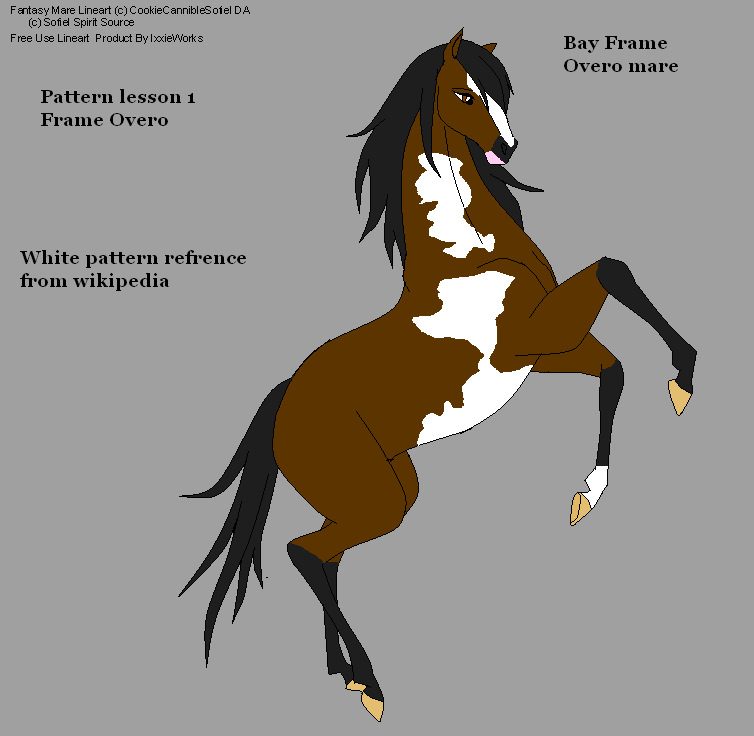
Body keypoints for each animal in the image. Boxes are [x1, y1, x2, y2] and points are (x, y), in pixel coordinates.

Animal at [178, 29, 696, 722]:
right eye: (463, 93)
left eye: (502, 89)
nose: (508, 147)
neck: (468, 252)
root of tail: (285, 403)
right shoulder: (531, 338)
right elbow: (613, 270)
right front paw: (685, 378)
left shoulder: (544, 352)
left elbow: (611, 367)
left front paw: (588, 493)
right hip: (373, 495)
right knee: (305, 553)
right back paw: (370, 685)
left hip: (393, 487)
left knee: (323, 556)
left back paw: (344, 677)